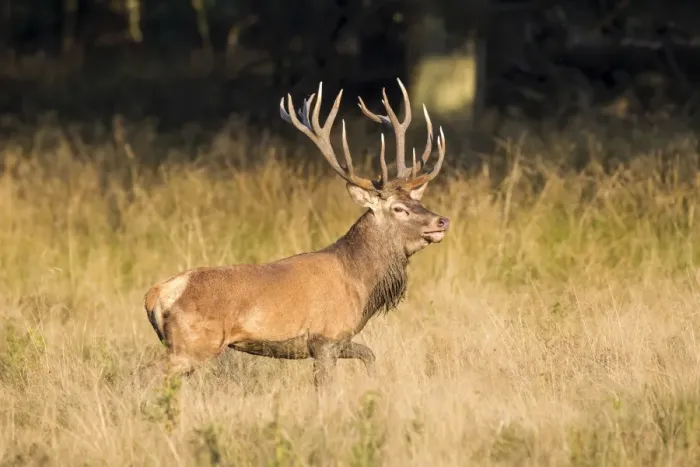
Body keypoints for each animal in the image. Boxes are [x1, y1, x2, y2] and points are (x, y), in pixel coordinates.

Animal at [143, 78, 449, 388]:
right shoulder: (325, 338)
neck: (360, 282)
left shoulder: (341, 340)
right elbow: (325, 386)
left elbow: (370, 355)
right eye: (399, 208)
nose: (441, 221)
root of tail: (156, 293)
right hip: (193, 343)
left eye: (418, 201)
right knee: (147, 374)